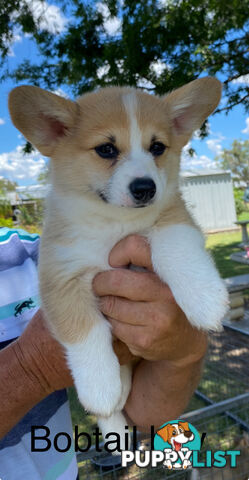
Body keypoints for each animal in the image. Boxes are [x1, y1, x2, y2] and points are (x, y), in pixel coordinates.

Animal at [8, 77, 229, 452]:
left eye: (157, 147)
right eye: (107, 150)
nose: (145, 188)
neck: (114, 223)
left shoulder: (175, 220)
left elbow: (175, 248)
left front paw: (206, 301)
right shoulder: (60, 277)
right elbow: (85, 330)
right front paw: (100, 386)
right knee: (113, 401)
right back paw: (115, 424)